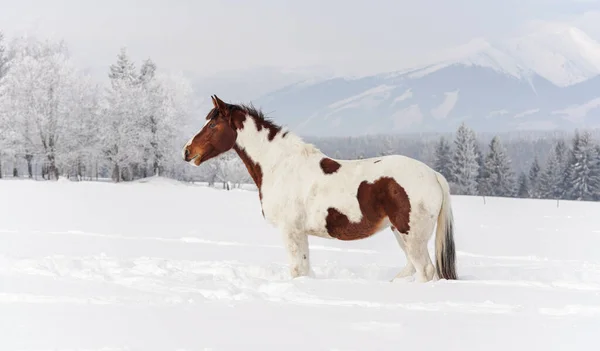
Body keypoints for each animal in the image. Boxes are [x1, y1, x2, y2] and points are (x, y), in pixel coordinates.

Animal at [180, 95, 458, 284]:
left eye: (213, 125)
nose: (187, 151)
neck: (280, 165)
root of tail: (433, 175)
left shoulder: (290, 231)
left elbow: (297, 269)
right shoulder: (299, 233)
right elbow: (303, 269)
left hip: (411, 235)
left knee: (425, 270)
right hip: (401, 233)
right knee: (412, 268)